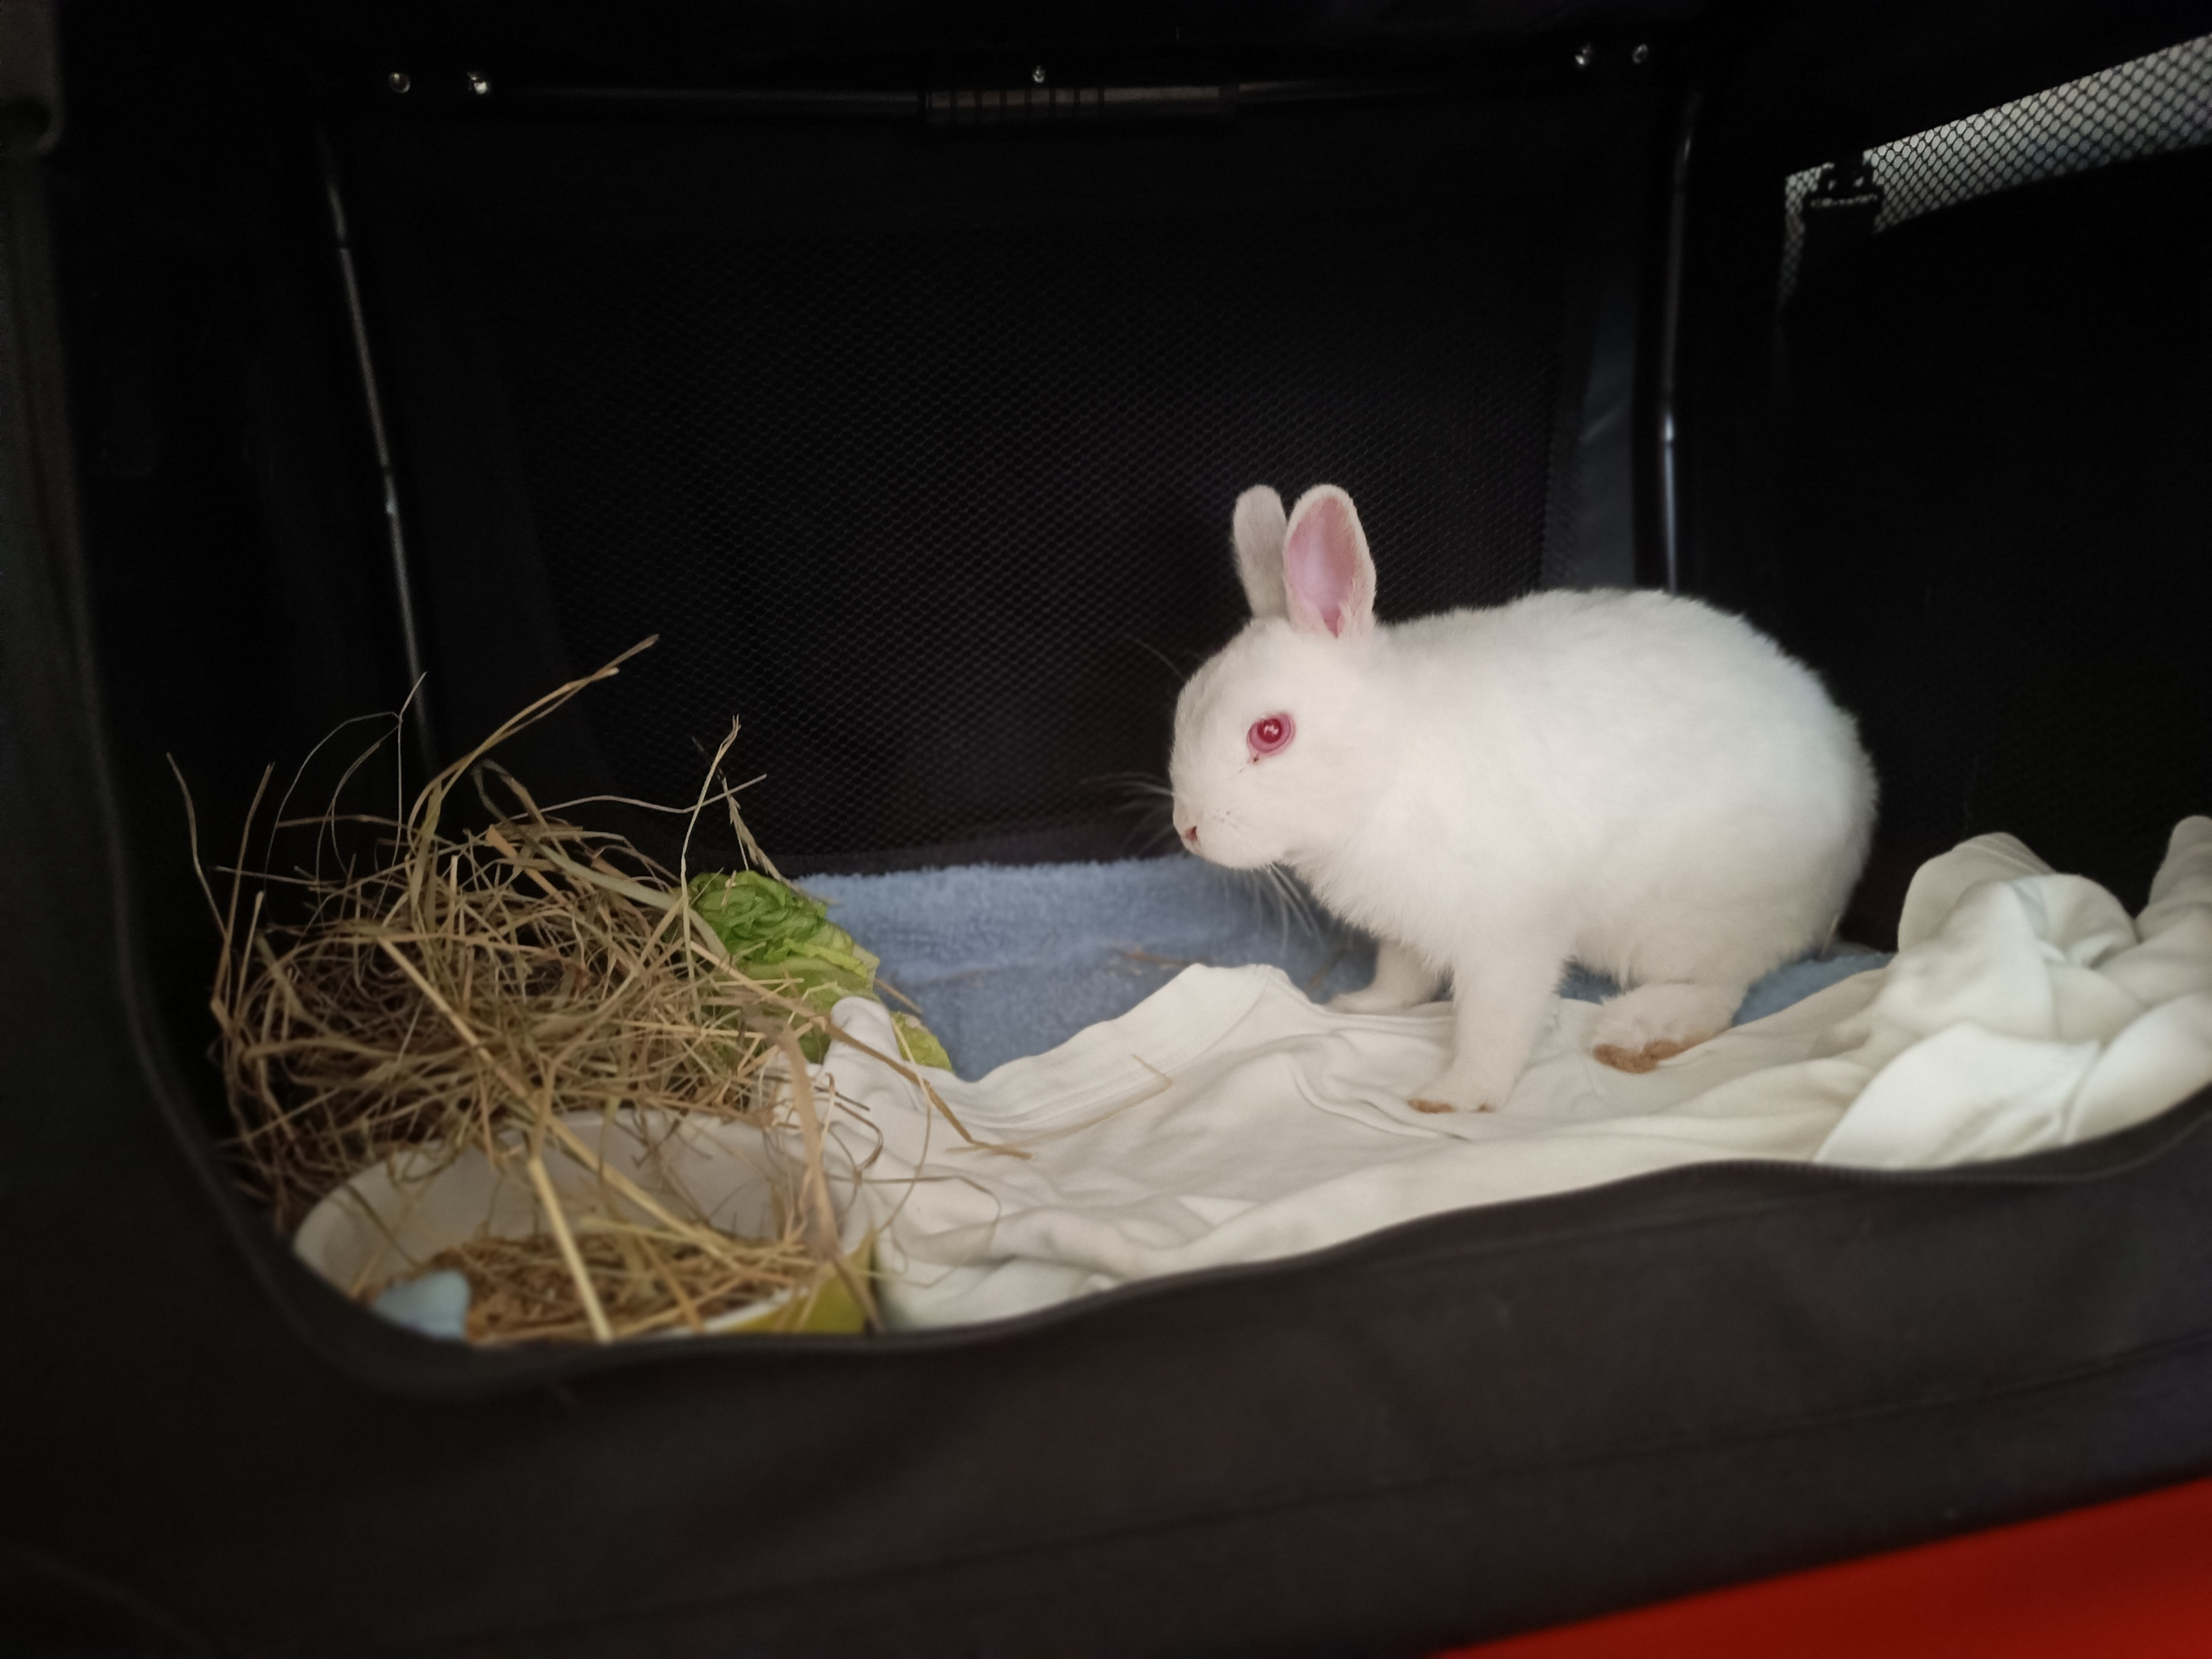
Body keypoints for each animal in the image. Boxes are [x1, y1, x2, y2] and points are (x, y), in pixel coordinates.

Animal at [1168, 483, 1877, 1114]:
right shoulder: (1409, 928)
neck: (1390, 758)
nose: (1189, 829)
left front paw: (1453, 1098)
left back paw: (1639, 1030)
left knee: (1723, 989)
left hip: (1690, 925)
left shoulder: (1511, 937)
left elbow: (1495, 1023)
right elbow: (1403, 974)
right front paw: (1361, 1006)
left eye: (1270, 733)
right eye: (1185, 704)